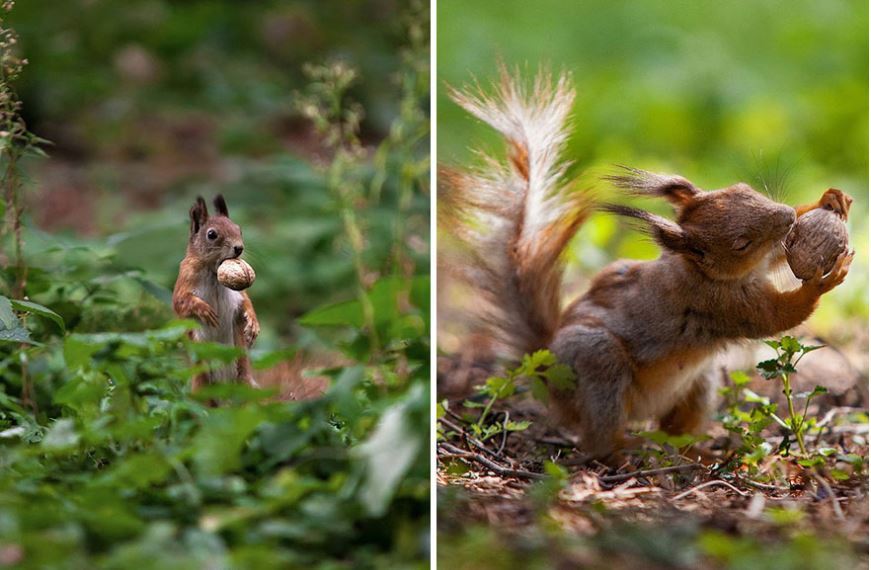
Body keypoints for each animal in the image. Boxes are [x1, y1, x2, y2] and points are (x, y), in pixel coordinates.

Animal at [172, 195, 260, 390]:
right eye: (211, 235)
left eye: (239, 229)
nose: (239, 248)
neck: (214, 272)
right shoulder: (185, 280)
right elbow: (181, 302)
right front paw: (204, 309)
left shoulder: (238, 294)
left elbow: (246, 302)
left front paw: (253, 324)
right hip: (202, 376)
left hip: (243, 372)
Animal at [440, 69, 856, 460]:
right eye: (741, 243)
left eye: (744, 189)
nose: (786, 216)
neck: (697, 270)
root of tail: (546, 373)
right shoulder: (719, 304)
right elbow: (775, 317)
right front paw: (824, 280)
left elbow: (776, 257)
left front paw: (830, 199)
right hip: (598, 363)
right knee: (599, 439)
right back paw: (623, 452)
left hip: (700, 381)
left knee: (674, 430)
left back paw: (695, 450)